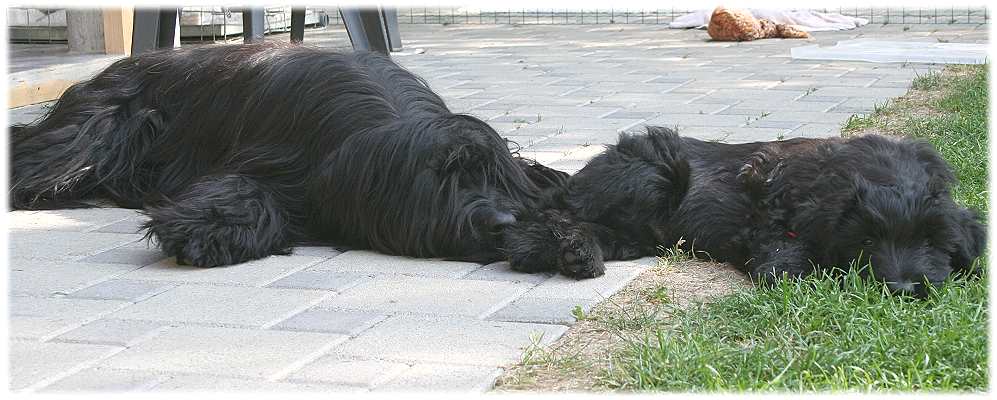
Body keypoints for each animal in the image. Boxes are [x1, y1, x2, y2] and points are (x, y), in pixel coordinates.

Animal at [556, 126, 984, 296]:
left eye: (930, 241)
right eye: (866, 241)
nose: (902, 288)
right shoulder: (772, 228)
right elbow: (787, 259)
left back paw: (580, 254)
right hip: (656, 171)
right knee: (567, 213)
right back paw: (574, 248)